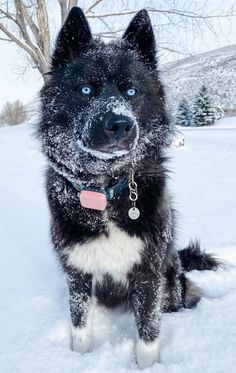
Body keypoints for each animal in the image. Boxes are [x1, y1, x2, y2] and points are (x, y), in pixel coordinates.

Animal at [36, 7, 219, 368]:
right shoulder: (78, 272)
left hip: (170, 282)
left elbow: (148, 336)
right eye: (86, 90)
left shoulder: (148, 274)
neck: (105, 190)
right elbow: (80, 329)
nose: (119, 124)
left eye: (131, 92)